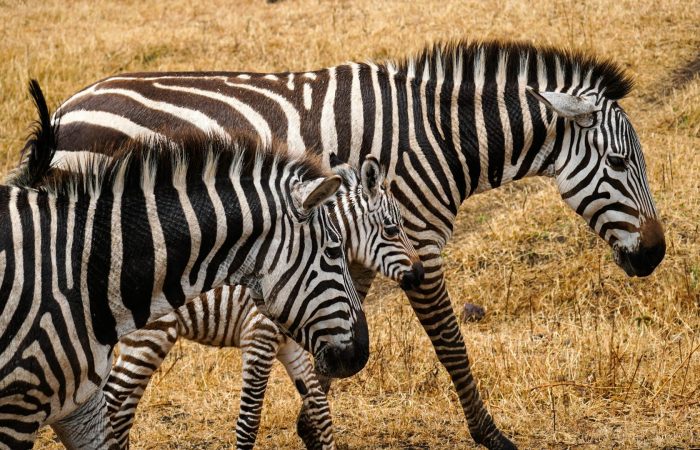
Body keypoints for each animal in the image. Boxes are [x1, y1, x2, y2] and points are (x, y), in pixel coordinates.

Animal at [104, 156, 422, 450]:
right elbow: (249, 421)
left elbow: (320, 411)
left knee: (122, 411)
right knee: (113, 401)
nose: (419, 274)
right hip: (151, 338)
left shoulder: (289, 345)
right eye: (392, 230)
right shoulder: (258, 336)